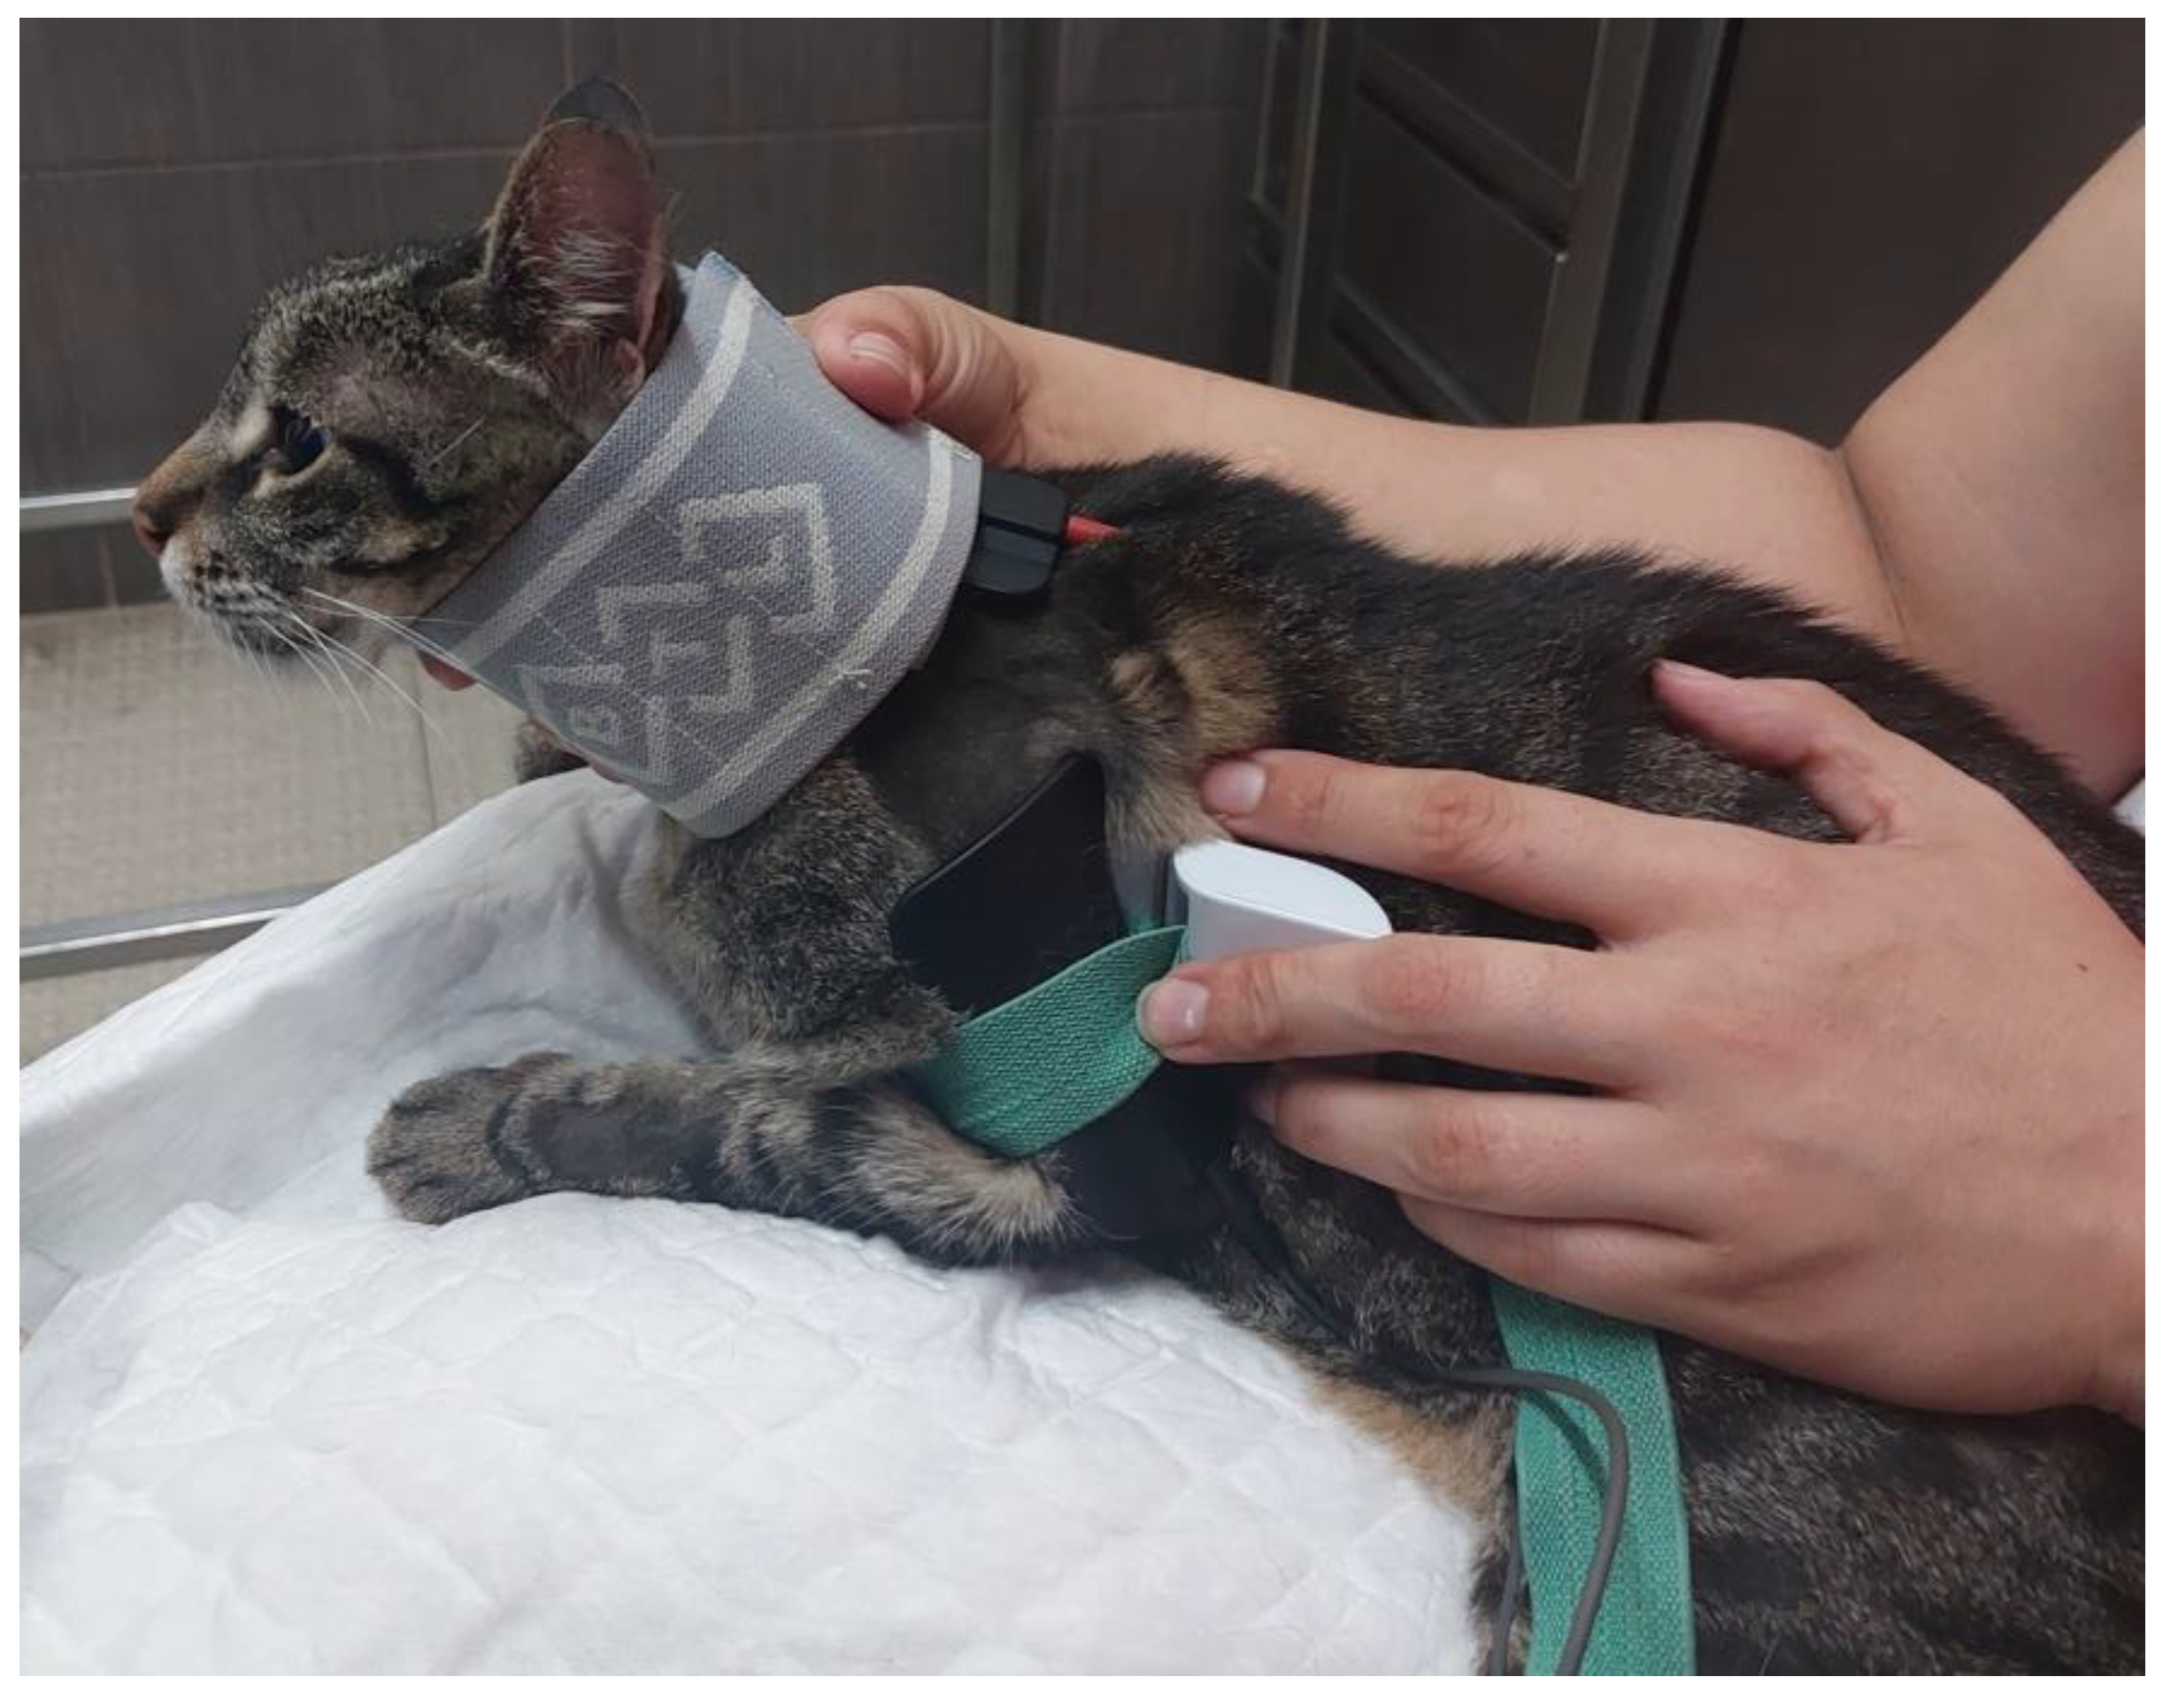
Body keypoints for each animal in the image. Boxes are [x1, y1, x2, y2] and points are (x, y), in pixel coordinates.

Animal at [132, 82, 2142, 1672]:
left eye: (291, 438)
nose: (143, 514)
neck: (853, 669)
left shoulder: (1020, 1131)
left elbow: (749, 1119)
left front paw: (493, 1118)